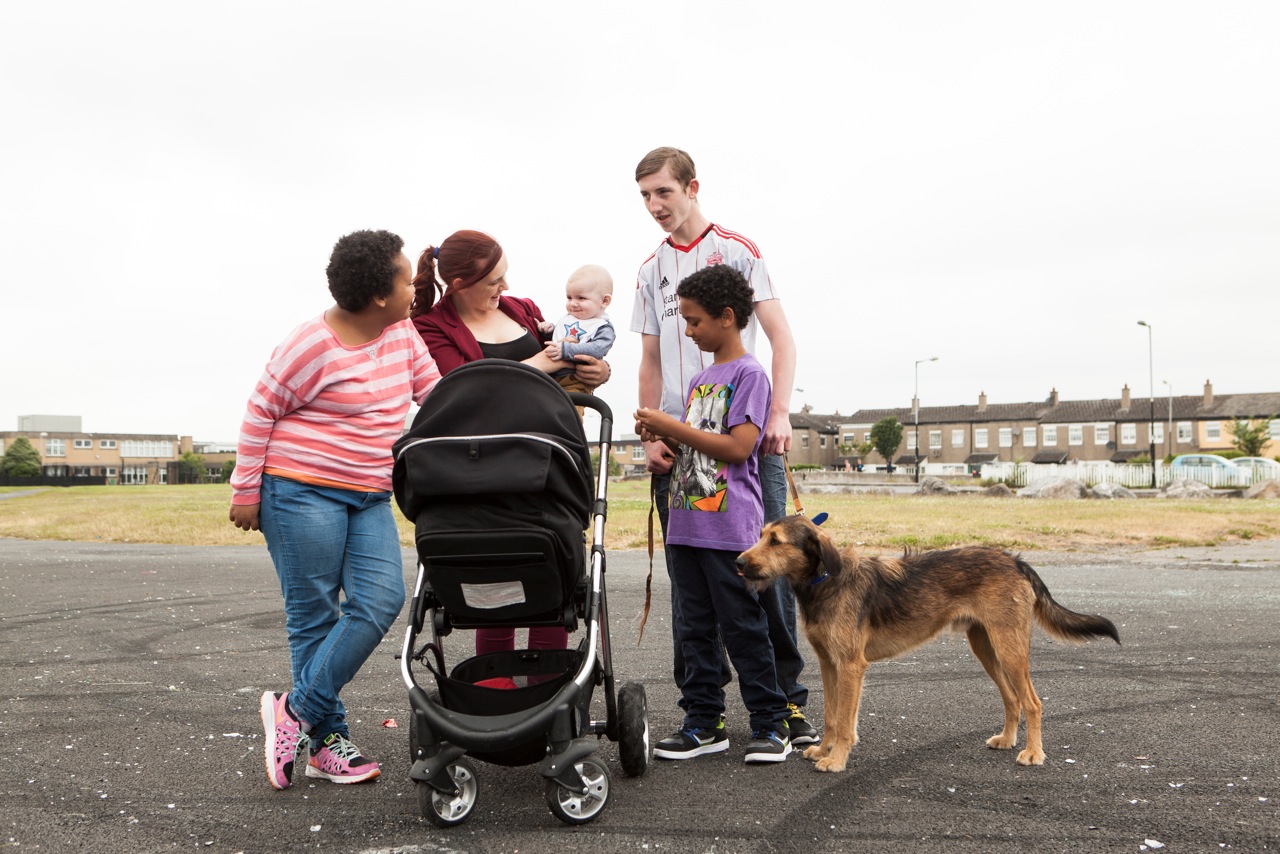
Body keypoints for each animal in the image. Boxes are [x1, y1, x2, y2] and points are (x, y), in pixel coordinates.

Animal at [737, 514, 1116, 773]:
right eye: (761, 536)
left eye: (776, 541)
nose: (738, 563)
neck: (825, 581)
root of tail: (1014, 560)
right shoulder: (829, 663)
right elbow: (832, 715)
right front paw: (824, 750)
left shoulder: (850, 666)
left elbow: (845, 721)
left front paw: (837, 758)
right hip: (986, 648)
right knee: (1012, 699)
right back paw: (1007, 740)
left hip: (1009, 649)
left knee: (1033, 703)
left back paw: (1033, 753)